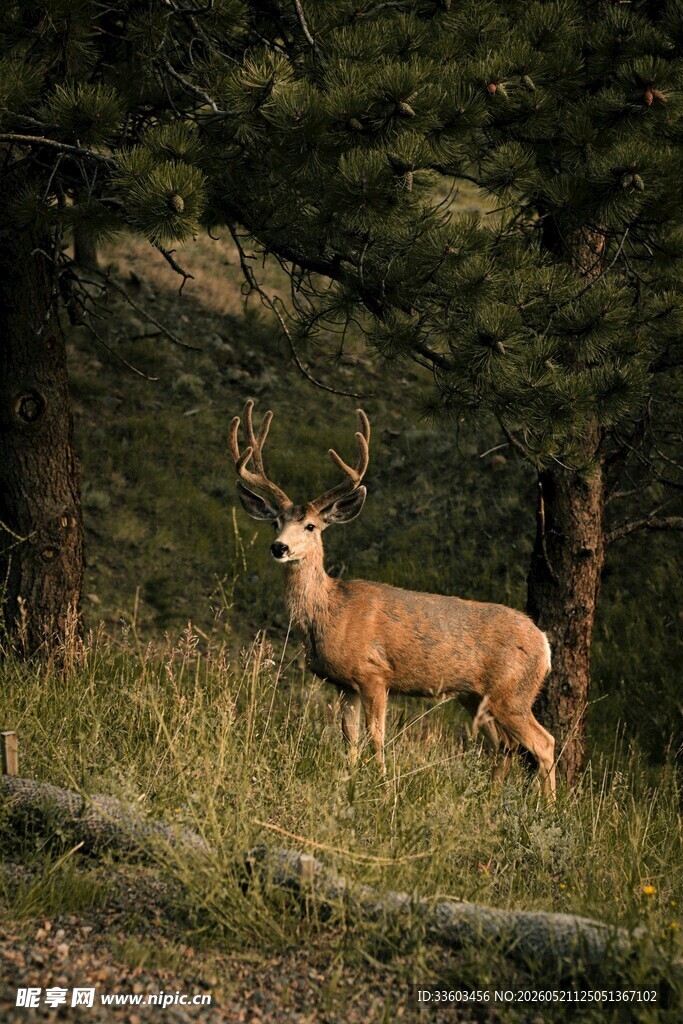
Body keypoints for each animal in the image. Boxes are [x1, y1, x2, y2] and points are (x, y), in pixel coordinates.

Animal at [228, 400, 556, 797]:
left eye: (310, 526)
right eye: (275, 521)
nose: (280, 547)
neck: (331, 612)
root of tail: (544, 643)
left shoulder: (375, 674)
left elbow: (376, 737)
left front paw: (383, 787)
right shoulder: (345, 684)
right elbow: (350, 738)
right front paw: (349, 780)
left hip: (513, 692)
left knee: (544, 743)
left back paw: (550, 806)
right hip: (476, 696)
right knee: (503, 745)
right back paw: (490, 799)